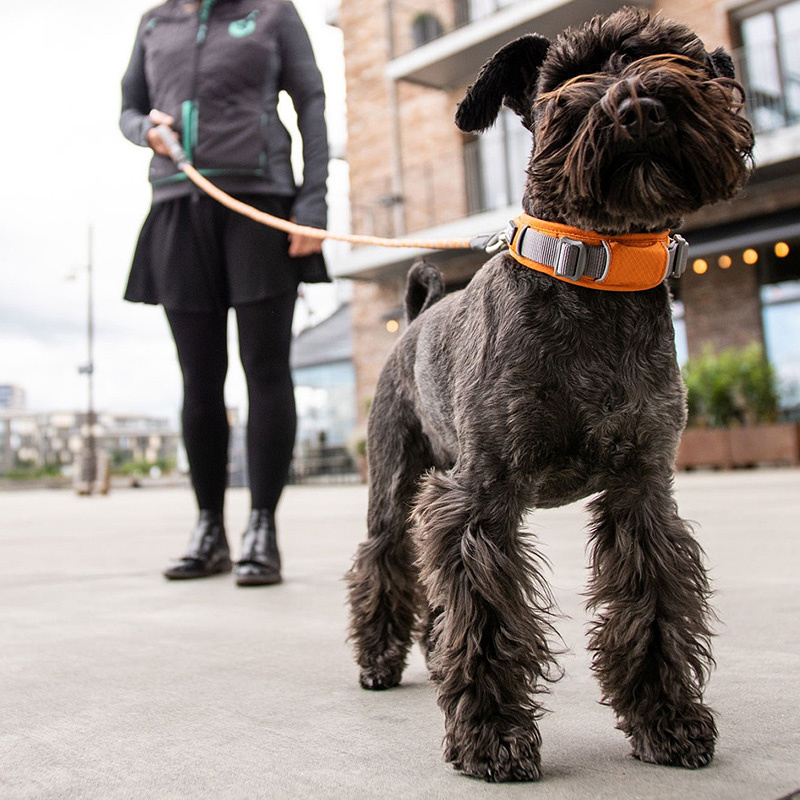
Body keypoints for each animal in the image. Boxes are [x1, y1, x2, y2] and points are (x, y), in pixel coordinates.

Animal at [346, 6, 752, 780]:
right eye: (568, 76)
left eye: (670, 53)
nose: (637, 106)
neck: (596, 274)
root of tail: (416, 318)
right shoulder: (483, 496)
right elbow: (485, 614)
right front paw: (492, 735)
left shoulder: (640, 490)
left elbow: (653, 600)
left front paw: (667, 718)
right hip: (394, 478)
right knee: (385, 555)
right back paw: (380, 658)